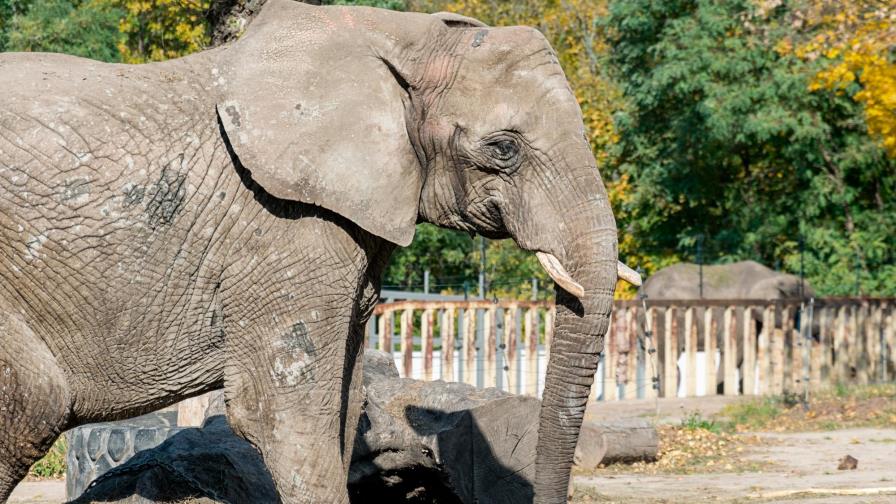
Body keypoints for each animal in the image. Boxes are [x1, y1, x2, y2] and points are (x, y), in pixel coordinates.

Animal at [0, 1, 640, 503]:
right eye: (504, 149)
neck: (399, 35)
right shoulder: (282, 228)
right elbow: (284, 416)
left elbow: (345, 403)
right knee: (35, 405)